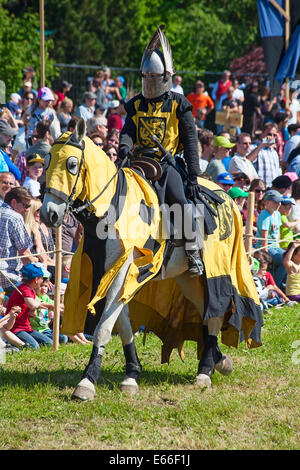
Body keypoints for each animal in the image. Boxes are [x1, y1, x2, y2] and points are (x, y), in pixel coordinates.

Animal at [40, 118, 262, 400]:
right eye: (46, 162)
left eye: (71, 164)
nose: (49, 214)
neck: (112, 208)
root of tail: (229, 200)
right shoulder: (108, 272)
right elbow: (122, 323)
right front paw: (132, 374)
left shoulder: (124, 270)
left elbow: (104, 326)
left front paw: (87, 381)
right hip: (186, 278)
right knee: (205, 311)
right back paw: (217, 360)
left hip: (214, 272)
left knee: (215, 311)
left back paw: (204, 372)